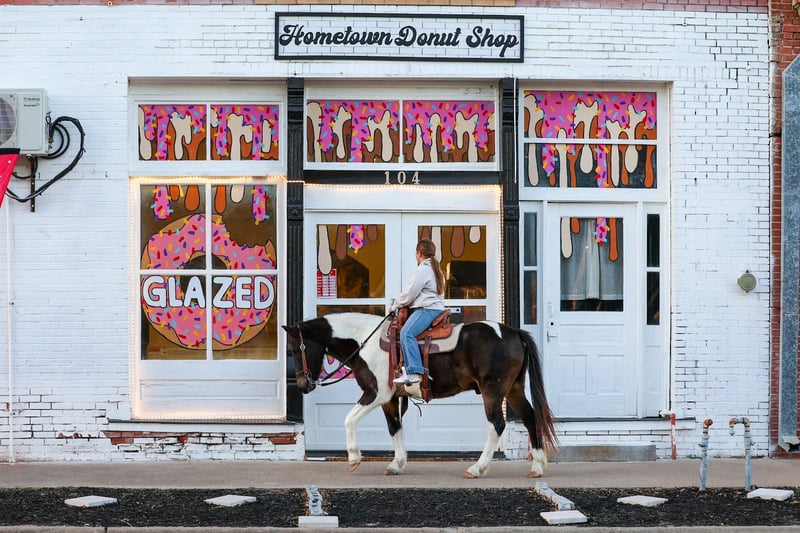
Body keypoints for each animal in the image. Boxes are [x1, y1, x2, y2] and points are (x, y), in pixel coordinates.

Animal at [283, 312, 558, 478]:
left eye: (295, 348)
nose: (302, 385)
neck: (363, 342)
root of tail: (514, 333)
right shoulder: (390, 398)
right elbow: (394, 428)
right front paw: (397, 463)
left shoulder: (376, 393)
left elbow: (349, 419)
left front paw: (354, 458)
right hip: (513, 389)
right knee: (530, 417)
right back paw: (537, 466)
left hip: (493, 390)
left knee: (496, 424)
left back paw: (477, 467)